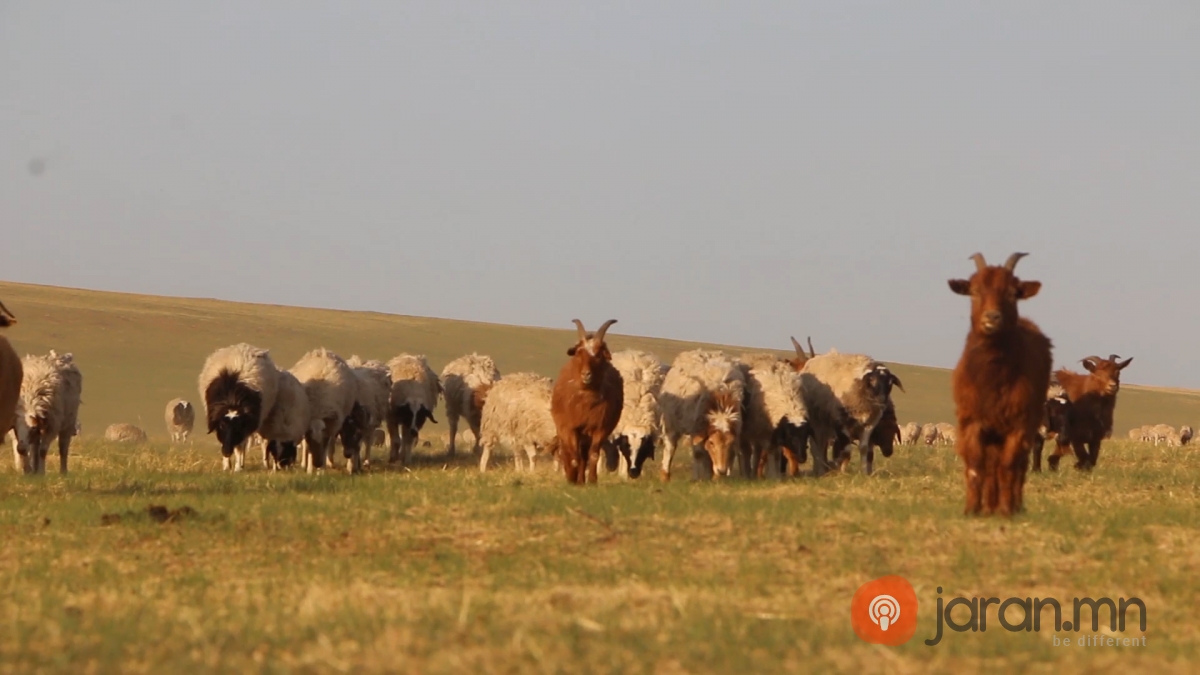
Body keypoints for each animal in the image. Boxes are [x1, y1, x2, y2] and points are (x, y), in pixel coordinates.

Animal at [552, 317, 628, 480]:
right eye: (579, 353)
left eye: (599, 354)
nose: (586, 374)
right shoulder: (571, 428)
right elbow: (574, 457)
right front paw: (571, 479)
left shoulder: (600, 428)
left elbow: (593, 455)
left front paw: (592, 480)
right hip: (564, 430)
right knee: (570, 453)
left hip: (586, 435)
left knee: (584, 456)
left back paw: (581, 479)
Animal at [662, 345, 744, 478]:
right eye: (711, 442)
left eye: (730, 443)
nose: (721, 470)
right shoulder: (696, 428)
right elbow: (699, 453)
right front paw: (702, 477)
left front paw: (716, 476)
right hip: (671, 421)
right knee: (671, 447)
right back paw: (666, 474)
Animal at [950, 252, 1056, 514]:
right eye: (974, 291)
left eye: (1012, 293)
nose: (992, 317)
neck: (992, 377)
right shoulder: (972, 421)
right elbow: (976, 465)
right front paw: (972, 510)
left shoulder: (1019, 424)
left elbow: (1009, 466)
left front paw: (1007, 510)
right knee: (991, 465)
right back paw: (989, 506)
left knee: (1017, 465)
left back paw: (1010, 505)